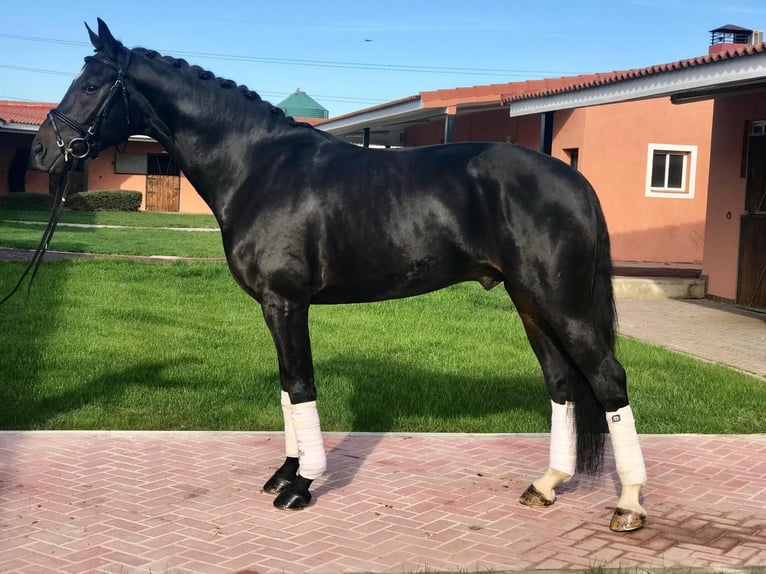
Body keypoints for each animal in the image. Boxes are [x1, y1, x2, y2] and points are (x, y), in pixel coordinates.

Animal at [28, 18, 647, 532]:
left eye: (91, 86)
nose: (40, 152)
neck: (258, 167)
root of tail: (574, 178)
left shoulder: (286, 302)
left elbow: (301, 386)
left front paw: (301, 486)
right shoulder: (275, 307)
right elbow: (286, 387)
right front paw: (286, 472)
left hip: (562, 303)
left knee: (608, 379)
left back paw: (629, 504)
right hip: (529, 300)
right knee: (562, 382)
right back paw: (548, 484)